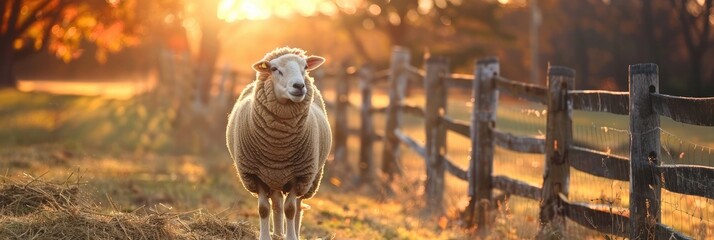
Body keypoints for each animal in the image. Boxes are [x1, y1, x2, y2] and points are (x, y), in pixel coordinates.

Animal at [225, 47, 330, 240]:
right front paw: (265, 237)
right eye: (274, 69)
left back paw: (290, 233)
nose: (299, 86)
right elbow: (264, 209)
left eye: (305, 67)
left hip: (309, 178)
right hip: (274, 178)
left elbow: (291, 209)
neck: (278, 147)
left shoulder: (300, 176)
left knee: (297, 207)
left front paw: (291, 237)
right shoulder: (255, 175)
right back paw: (278, 233)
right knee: (277, 203)